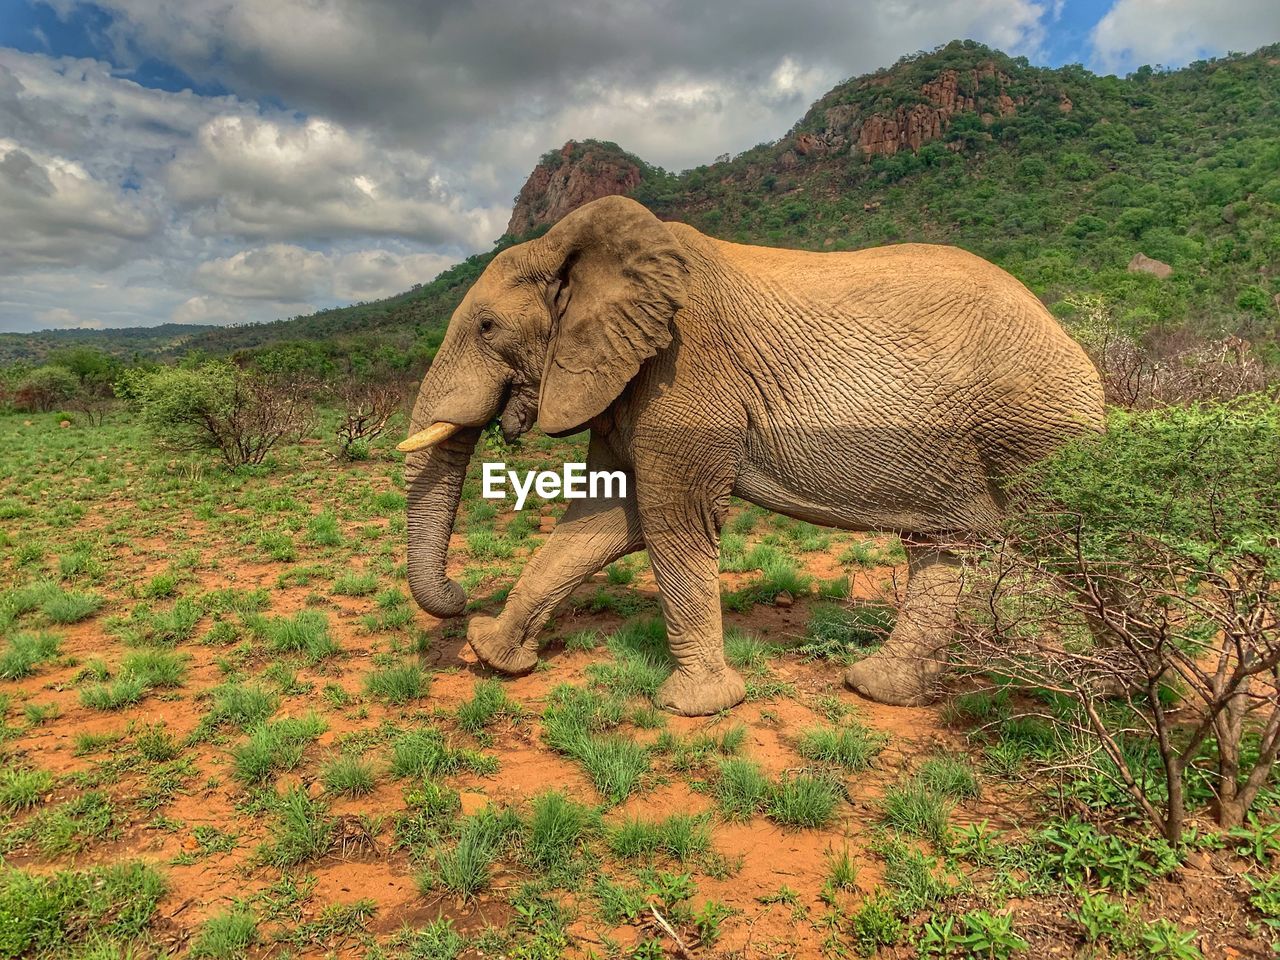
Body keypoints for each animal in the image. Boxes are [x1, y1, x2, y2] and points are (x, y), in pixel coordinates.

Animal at [396, 195, 1100, 716]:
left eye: (487, 327)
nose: (458, 594)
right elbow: (602, 522)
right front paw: (494, 656)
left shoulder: (686, 370)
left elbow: (672, 520)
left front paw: (695, 708)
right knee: (941, 547)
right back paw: (877, 690)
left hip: (1037, 422)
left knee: (1067, 541)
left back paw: (1112, 692)